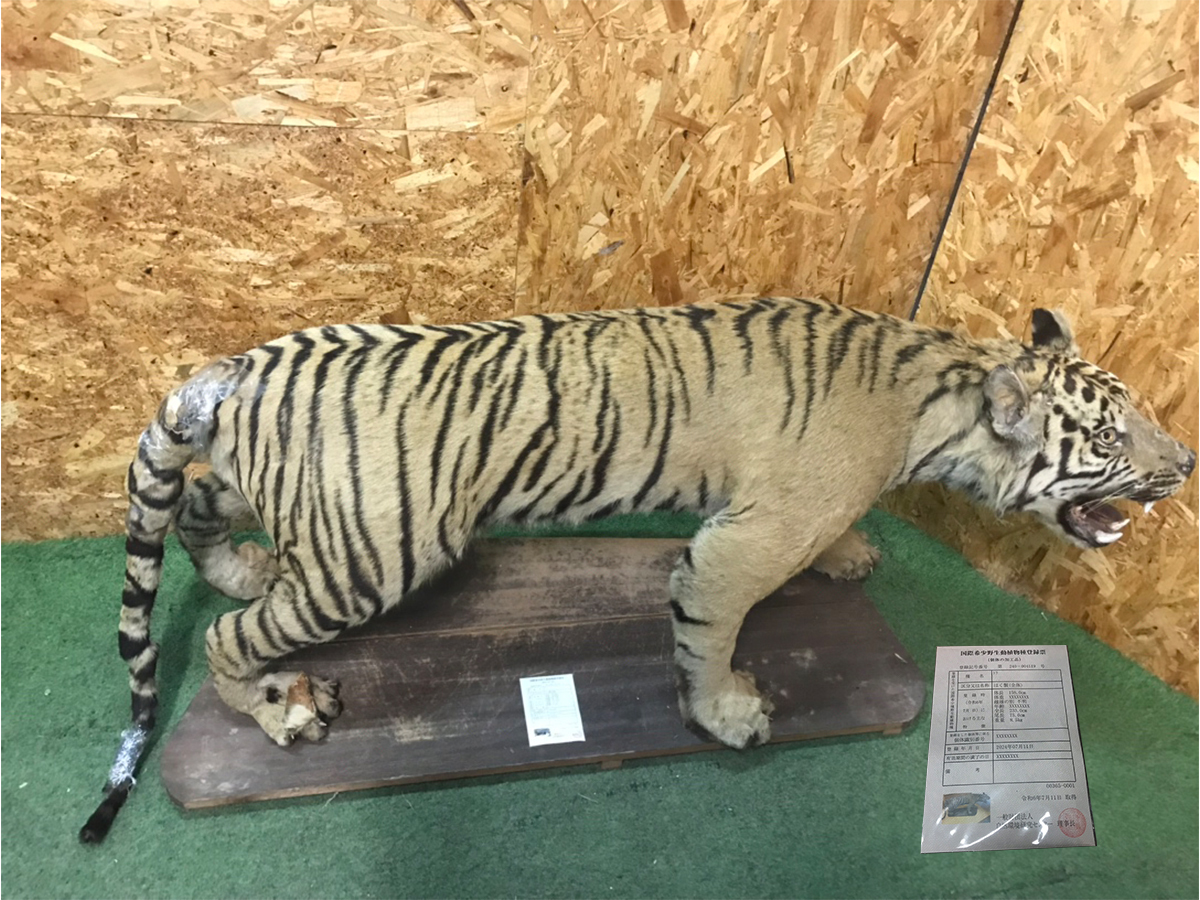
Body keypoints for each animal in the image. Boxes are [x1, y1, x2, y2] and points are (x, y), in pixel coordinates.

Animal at [80, 296, 1195, 842]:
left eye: (1138, 411)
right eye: (1108, 436)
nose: (1183, 462)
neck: (943, 398)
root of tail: (234, 370)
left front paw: (851, 553)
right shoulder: (740, 542)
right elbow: (711, 632)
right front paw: (728, 714)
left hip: (261, 495)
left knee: (199, 521)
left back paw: (240, 571)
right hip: (374, 555)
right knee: (228, 639)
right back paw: (277, 709)